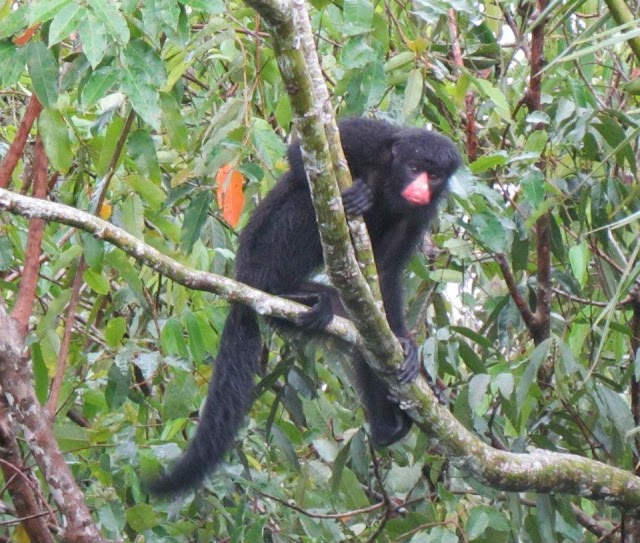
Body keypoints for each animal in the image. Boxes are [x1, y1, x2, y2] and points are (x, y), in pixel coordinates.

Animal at [150, 119, 460, 498]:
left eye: (434, 176)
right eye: (414, 168)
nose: (419, 189)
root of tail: (243, 279)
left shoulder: (421, 214)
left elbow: (385, 273)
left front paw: (405, 344)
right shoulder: (369, 136)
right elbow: (301, 157)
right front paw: (358, 193)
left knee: (365, 336)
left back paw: (387, 425)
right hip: (264, 254)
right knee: (307, 204)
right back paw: (285, 290)